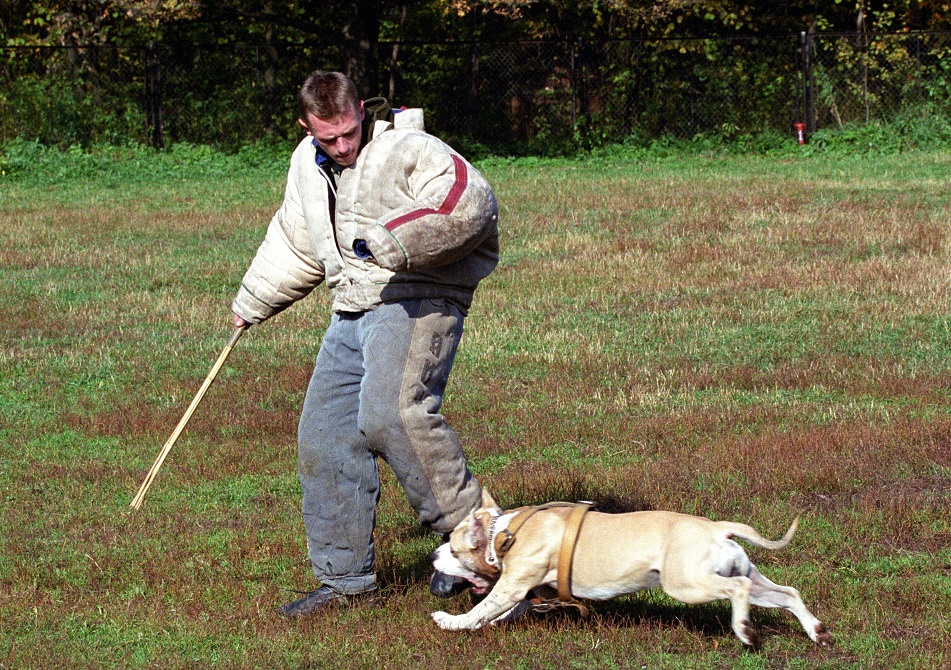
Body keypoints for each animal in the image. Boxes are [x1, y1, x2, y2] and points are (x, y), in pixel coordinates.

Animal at [431, 492, 831, 646]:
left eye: (452, 547)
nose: (432, 555)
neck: (504, 532)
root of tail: (718, 528)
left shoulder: (513, 585)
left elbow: (482, 608)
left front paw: (452, 622)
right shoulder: (529, 591)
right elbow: (502, 611)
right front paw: (488, 623)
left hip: (687, 584)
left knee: (739, 592)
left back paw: (744, 630)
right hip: (747, 574)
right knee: (788, 593)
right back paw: (817, 632)